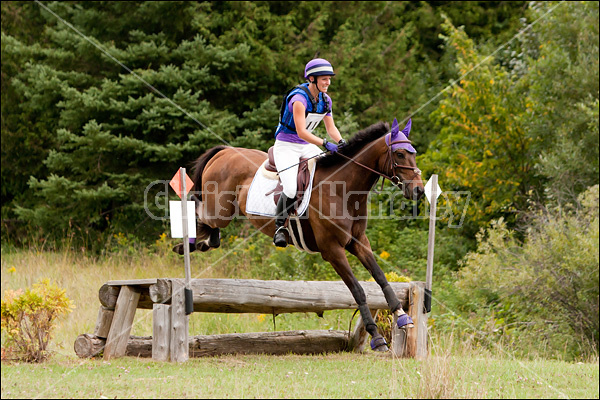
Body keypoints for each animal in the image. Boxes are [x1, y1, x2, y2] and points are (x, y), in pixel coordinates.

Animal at [176, 119, 424, 350]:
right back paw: (186, 244)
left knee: (209, 227)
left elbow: (381, 277)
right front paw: (377, 337)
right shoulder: (332, 251)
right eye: (400, 154)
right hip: (219, 211)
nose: (419, 191)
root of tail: (225, 151)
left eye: (413, 153)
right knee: (197, 206)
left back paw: (203, 242)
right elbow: (358, 290)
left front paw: (402, 316)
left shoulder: (359, 243)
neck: (343, 189)